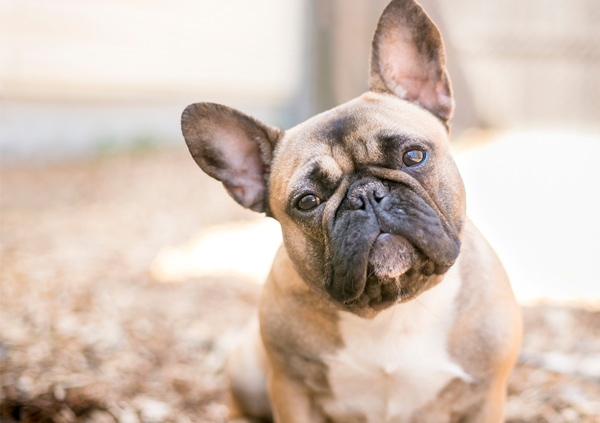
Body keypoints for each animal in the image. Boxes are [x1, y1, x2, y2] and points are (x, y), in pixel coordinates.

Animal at [180, 0, 524, 420]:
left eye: (414, 156)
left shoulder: (484, 394)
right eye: (307, 201)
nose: (367, 195)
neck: (393, 308)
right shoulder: (291, 391)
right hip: (248, 371)